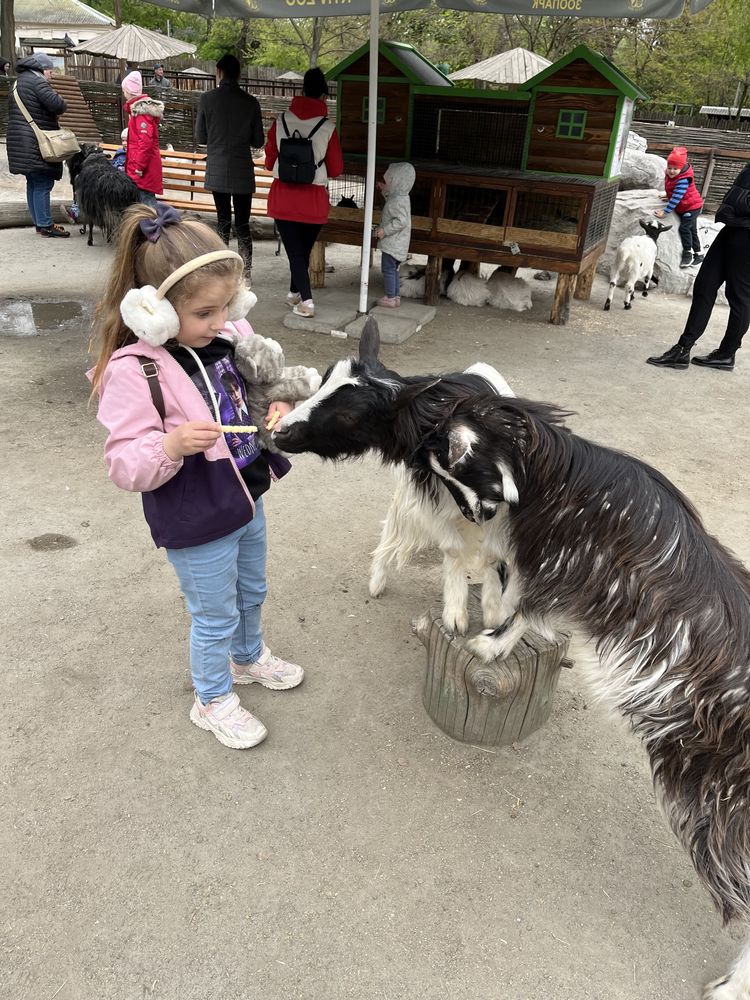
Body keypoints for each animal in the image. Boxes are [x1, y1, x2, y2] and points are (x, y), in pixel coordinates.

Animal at [278, 322, 750, 1000]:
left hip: (717, 799)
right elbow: (481, 580)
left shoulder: (553, 566)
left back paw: (731, 985)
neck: (556, 476)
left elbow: (521, 607)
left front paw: (488, 643)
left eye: (346, 408)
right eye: (324, 386)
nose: (280, 433)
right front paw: (464, 622)